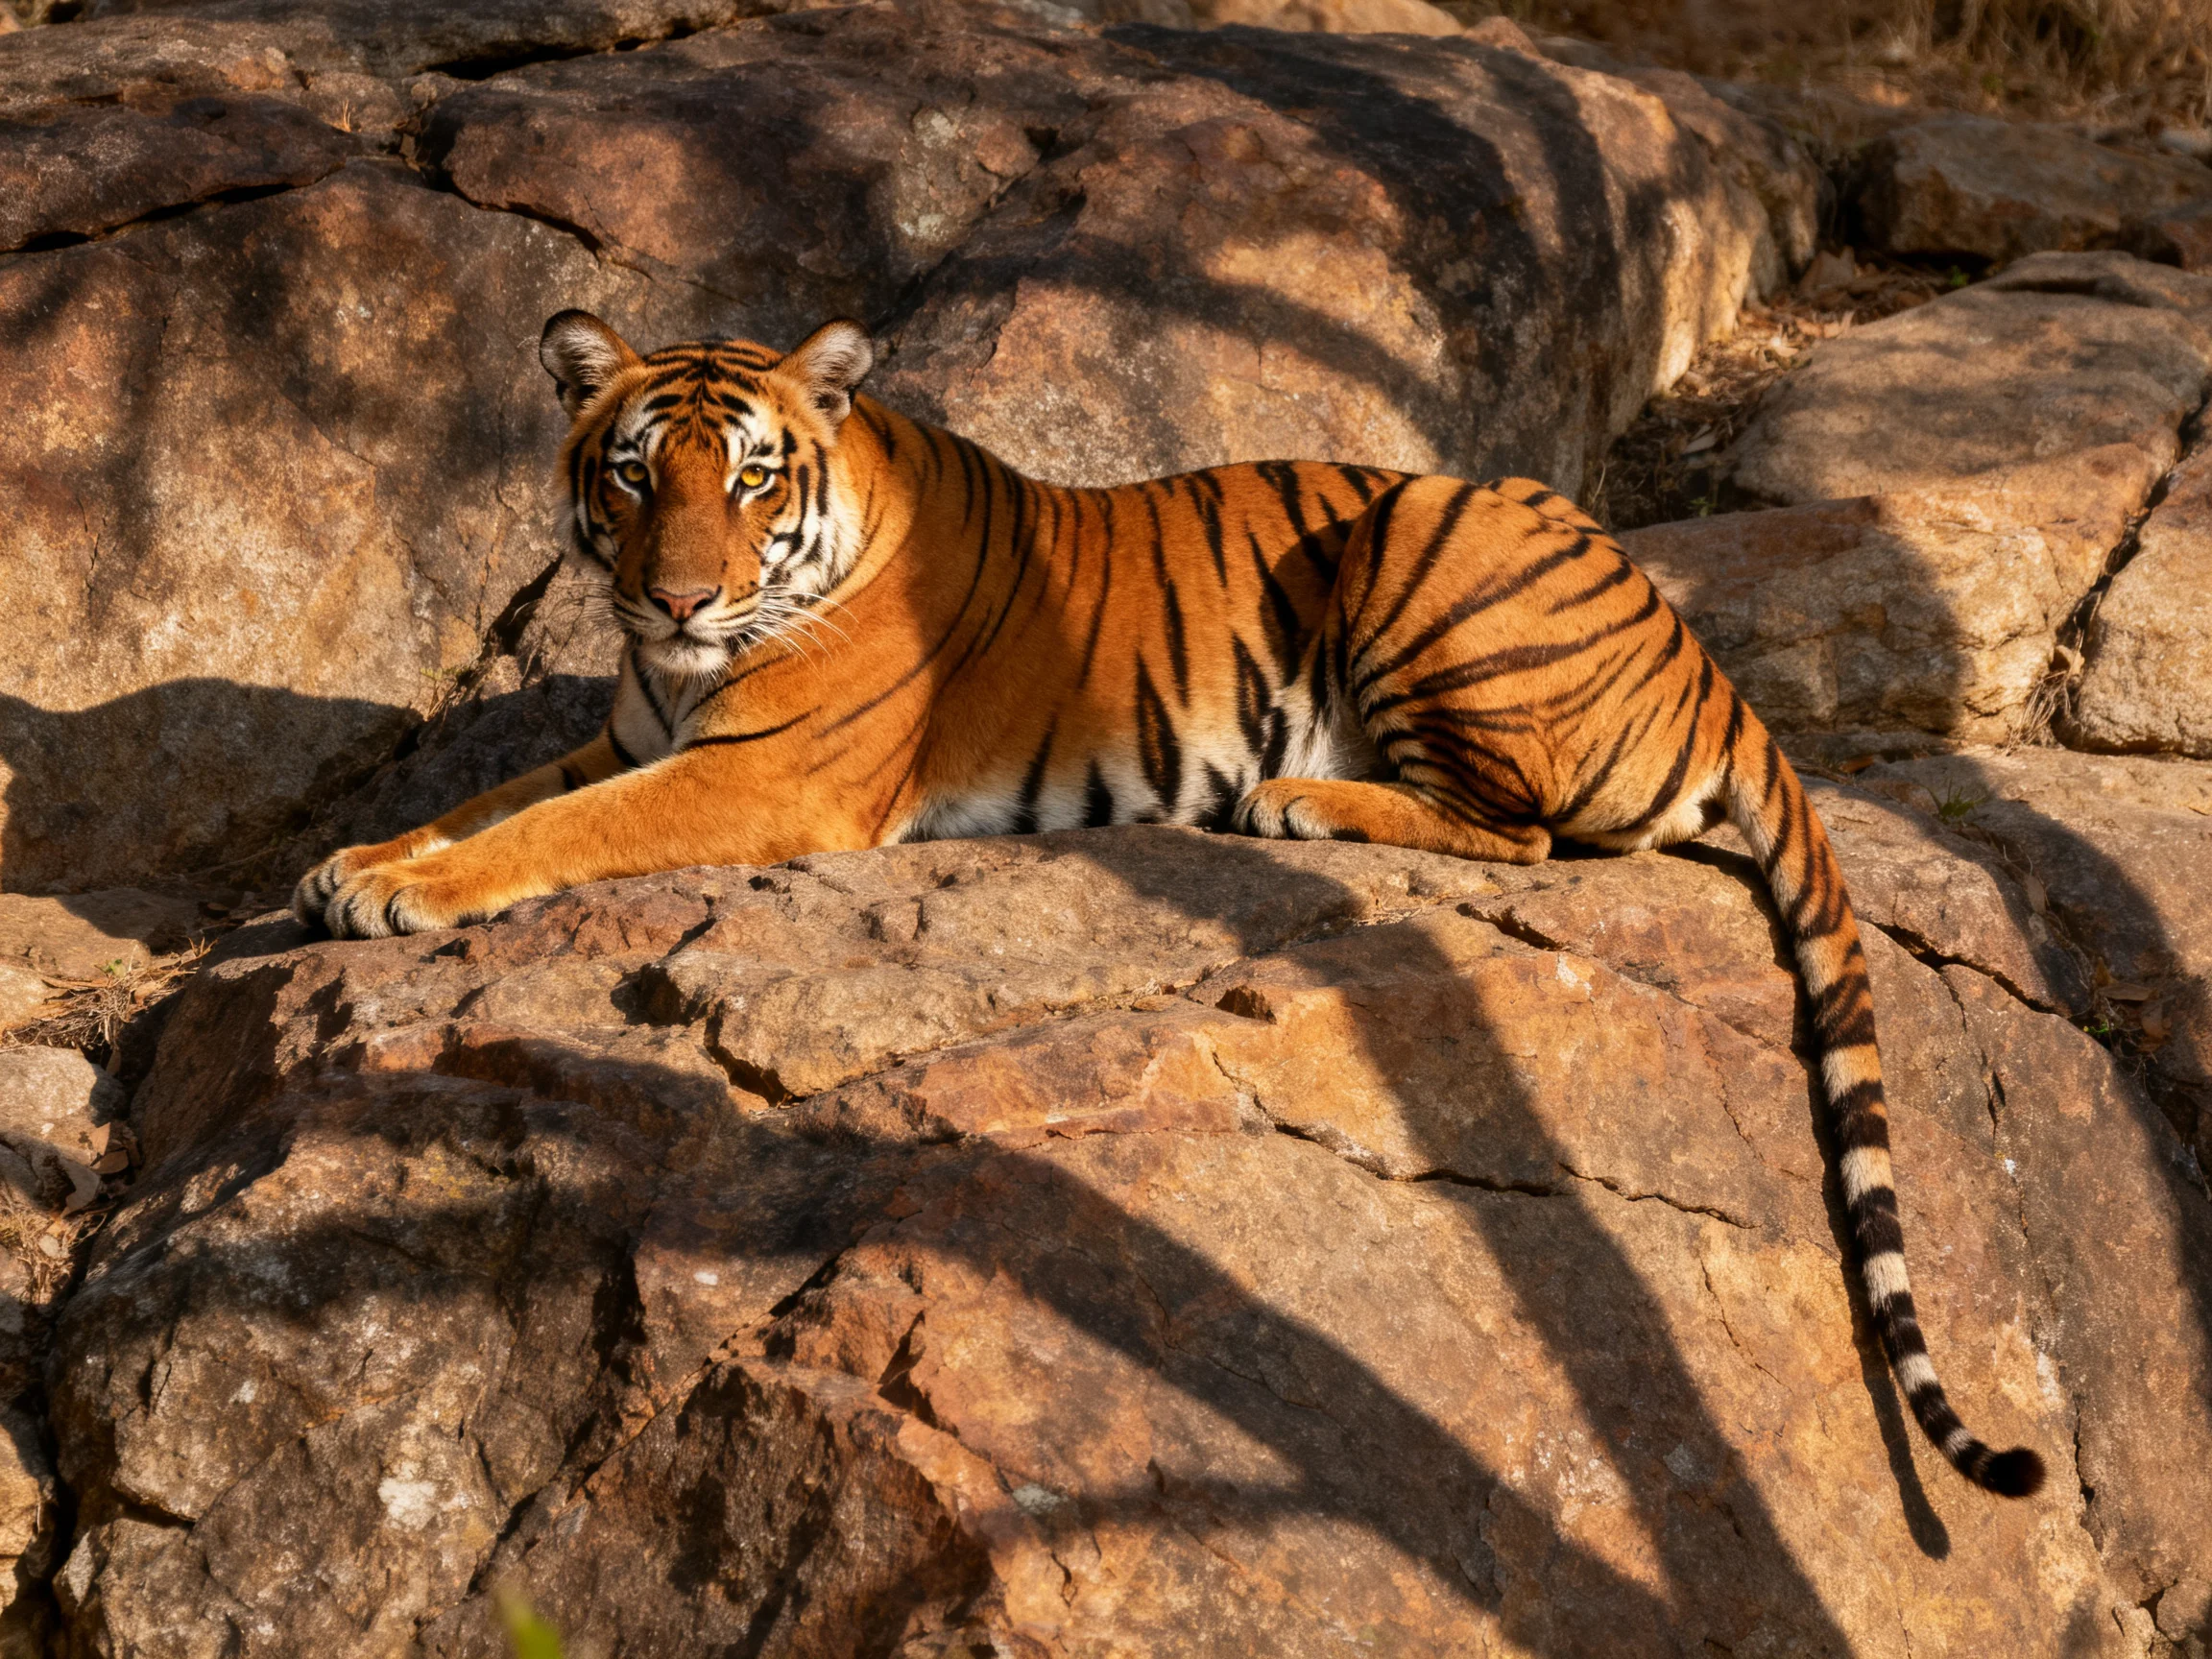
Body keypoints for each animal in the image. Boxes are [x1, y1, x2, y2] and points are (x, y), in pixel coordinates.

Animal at [294, 309, 2045, 1499]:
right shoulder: (633, 729)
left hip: (1423, 531)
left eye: (747, 480)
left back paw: (1296, 799)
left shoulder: (758, 777)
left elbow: (556, 828)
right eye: (633, 472)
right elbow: (492, 796)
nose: (677, 595)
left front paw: (394, 891)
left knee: (1532, 833)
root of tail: (1700, 650)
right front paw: (353, 861)